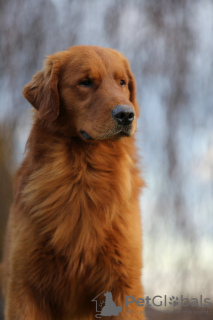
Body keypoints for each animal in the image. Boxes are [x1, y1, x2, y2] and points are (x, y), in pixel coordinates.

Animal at [0, 45, 146, 320]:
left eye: (122, 82)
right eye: (85, 82)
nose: (126, 114)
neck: (82, 175)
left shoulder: (123, 283)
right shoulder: (25, 287)